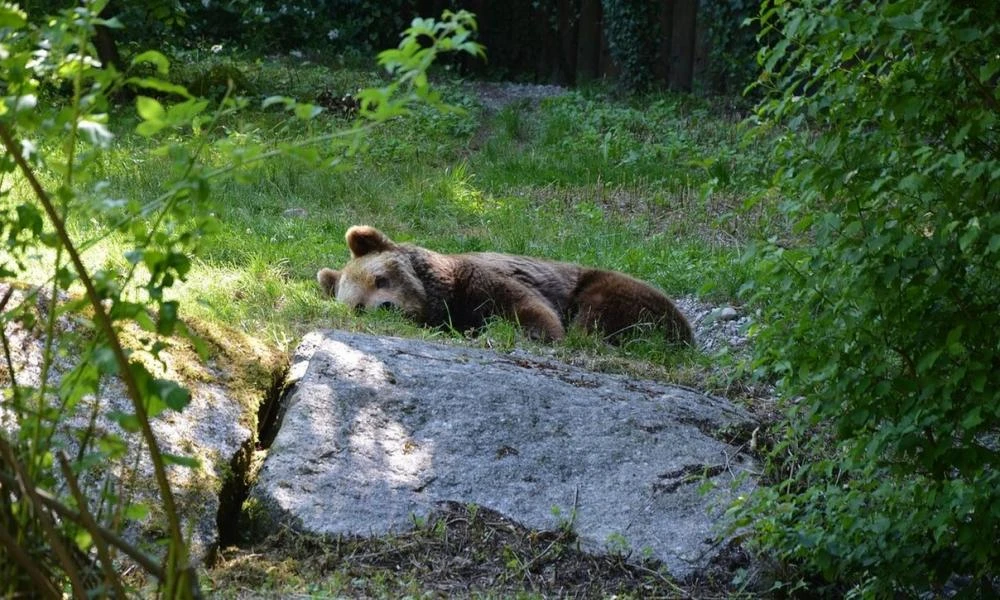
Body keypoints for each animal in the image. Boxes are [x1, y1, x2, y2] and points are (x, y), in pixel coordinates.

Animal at [316, 225, 692, 344]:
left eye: (380, 278)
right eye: (359, 307)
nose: (387, 306)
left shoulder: (481, 279)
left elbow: (527, 307)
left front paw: (538, 333)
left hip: (611, 288)